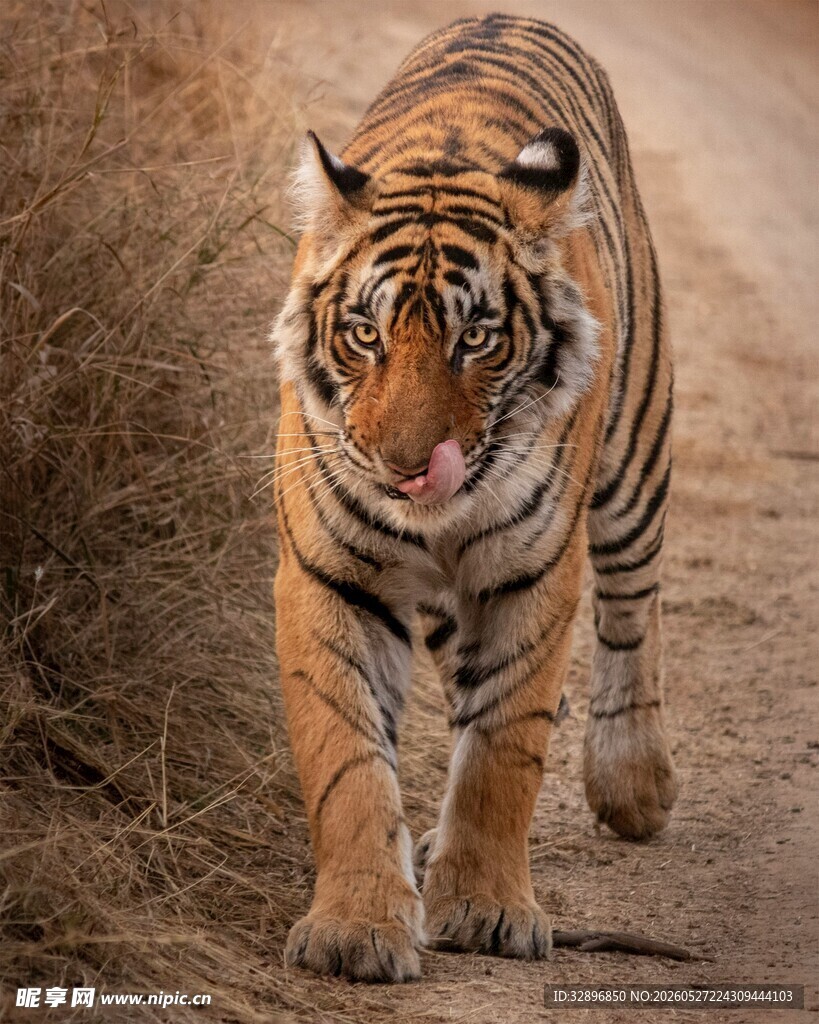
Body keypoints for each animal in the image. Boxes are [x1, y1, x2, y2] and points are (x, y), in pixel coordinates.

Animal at [271, 13, 677, 982]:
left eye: (478, 340)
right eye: (365, 333)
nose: (409, 467)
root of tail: (513, 14)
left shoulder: (531, 575)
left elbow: (502, 750)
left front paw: (487, 909)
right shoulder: (328, 576)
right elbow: (346, 759)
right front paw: (355, 927)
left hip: (635, 452)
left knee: (632, 605)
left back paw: (632, 781)